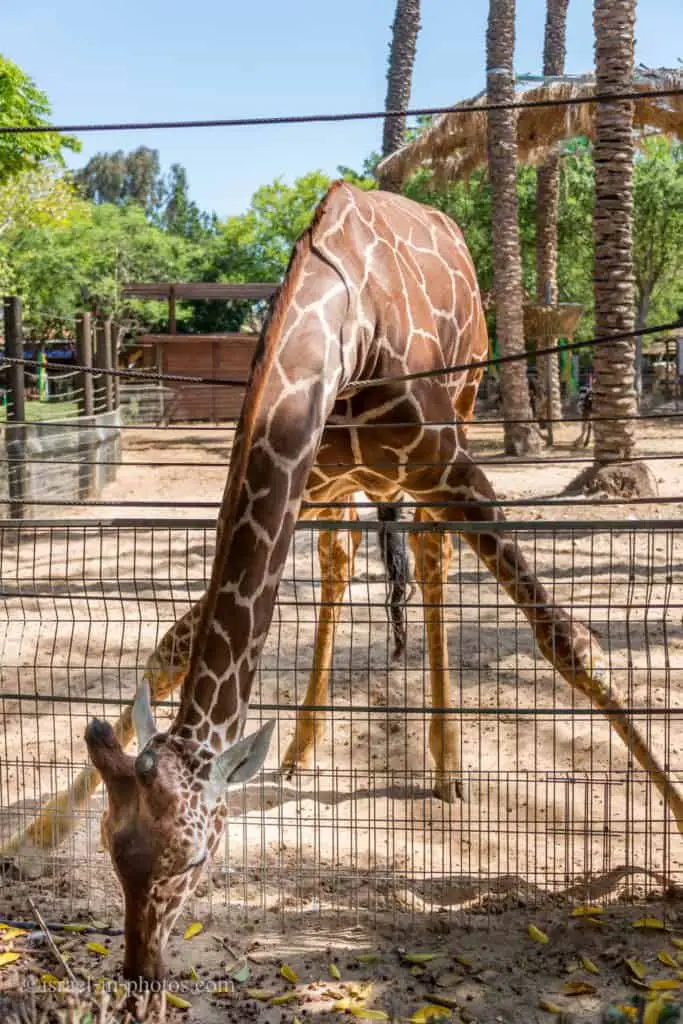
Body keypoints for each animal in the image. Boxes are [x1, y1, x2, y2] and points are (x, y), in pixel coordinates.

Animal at [36, 180, 683, 978]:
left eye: (191, 861)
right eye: (109, 846)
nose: (140, 971)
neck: (345, 333)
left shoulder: (449, 466)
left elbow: (567, 641)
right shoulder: (306, 471)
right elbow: (174, 645)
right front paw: (37, 830)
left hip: (461, 408)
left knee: (432, 560)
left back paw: (445, 768)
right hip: (347, 486)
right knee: (340, 563)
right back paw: (302, 750)